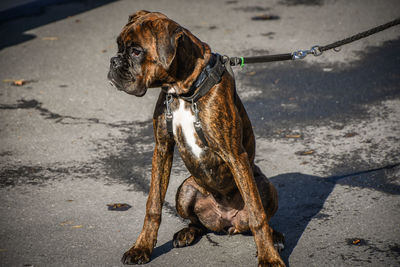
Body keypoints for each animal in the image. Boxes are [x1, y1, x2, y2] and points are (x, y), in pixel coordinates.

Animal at [108, 9, 286, 266]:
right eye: (119, 47)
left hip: (264, 185)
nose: (113, 61)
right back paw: (187, 232)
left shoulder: (235, 155)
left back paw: (276, 238)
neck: (183, 91)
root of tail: (227, 223)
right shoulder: (162, 148)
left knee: (262, 215)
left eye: (136, 51)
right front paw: (141, 247)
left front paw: (269, 257)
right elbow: (153, 205)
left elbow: (257, 214)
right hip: (186, 189)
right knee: (198, 224)